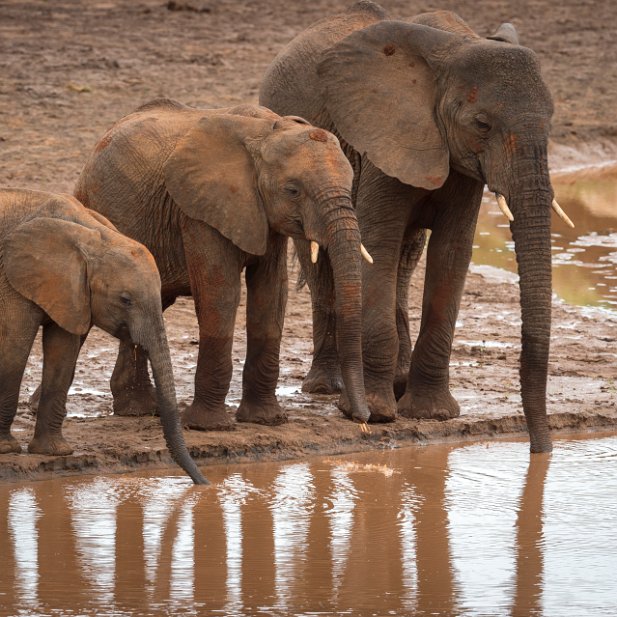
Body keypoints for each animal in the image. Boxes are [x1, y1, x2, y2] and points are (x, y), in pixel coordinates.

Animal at [0, 186, 207, 482]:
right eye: (125, 300)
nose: (204, 484)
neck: (92, 237)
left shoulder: (71, 292)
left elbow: (63, 354)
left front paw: (55, 452)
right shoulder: (12, 278)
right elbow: (14, 348)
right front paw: (6, 449)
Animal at [74, 98, 368, 430]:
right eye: (292, 190)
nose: (358, 416)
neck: (266, 132)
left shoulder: (263, 216)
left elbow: (270, 297)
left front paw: (266, 420)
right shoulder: (199, 210)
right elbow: (221, 295)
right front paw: (209, 426)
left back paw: (138, 410)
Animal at [260, 1, 572, 452]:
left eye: (550, 122)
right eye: (482, 124)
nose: (540, 450)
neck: (455, 50)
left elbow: (452, 253)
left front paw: (431, 413)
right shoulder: (383, 137)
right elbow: (378, 243)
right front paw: (378, 412)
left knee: (407, 263)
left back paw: (397, 380)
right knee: (323, 266)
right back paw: (328, 387)